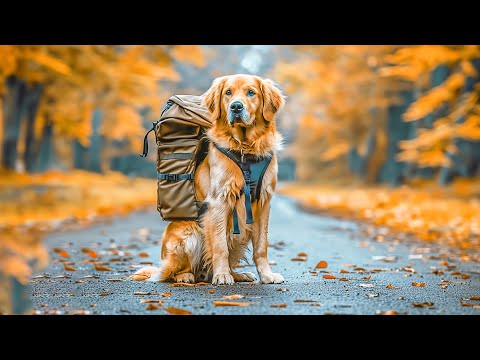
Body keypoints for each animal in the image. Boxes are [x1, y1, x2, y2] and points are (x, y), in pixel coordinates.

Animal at [131, 74, 284, 286]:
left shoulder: (263, 202)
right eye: (228, 92)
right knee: (173, 272)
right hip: (190, 234)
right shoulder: (219, 201)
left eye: (251, 92)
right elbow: (220, 246)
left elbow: (261, 246)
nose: (236, 107)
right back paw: (187, 276)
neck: (245, 150)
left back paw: (238, 274)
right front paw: (222, 275)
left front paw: (267, 275)